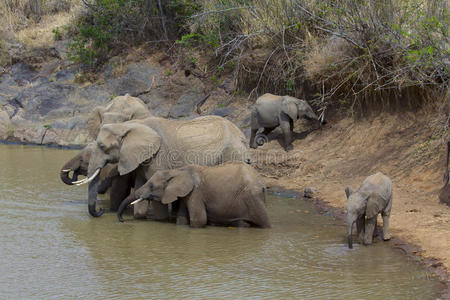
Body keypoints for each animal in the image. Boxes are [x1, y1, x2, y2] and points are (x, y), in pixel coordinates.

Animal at [78, 115, 253, 218]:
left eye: (102, 146)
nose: (100, 211)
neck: (129, 125)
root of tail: (243, 136)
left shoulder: (159, 157)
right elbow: (141, 187)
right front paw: (139, 217)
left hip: (231, 153)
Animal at [117, 163, 270, 229]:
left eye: (151, 186)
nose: (123, 221)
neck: (178, 170)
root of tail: (262, 182)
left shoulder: (196, 194)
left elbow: (198, 220)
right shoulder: (186, 195)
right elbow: (181, 220)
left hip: (252, 197)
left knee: (265, 224)